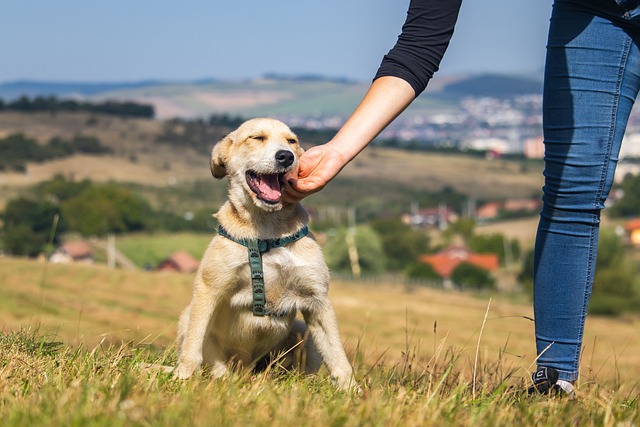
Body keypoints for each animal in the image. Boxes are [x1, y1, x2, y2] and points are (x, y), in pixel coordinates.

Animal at [172, 118, 358, 392]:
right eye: (257, 138)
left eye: (292, 141)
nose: (286, 156)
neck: (266, 230)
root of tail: (247, 370)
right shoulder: (209, 289)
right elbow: (192, 347)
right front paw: (182, 378)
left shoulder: (317, 300)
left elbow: (337, 356)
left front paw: (352, 391)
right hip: (189, 316)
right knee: (210, 360)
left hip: (302, 332)